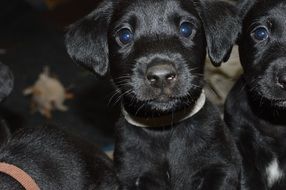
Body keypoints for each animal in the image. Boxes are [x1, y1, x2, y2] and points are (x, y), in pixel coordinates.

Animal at [66, 0, 244, 189]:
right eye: (124, 35)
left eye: (186, 28)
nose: (161, 76)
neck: (165, 128)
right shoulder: (134, 177)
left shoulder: (220, 168)